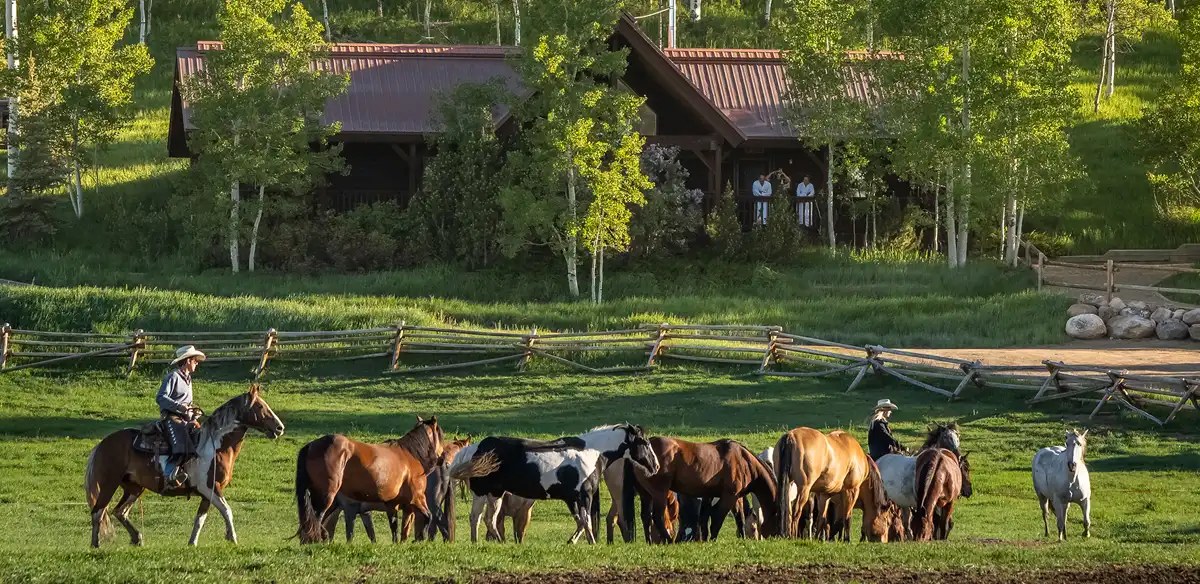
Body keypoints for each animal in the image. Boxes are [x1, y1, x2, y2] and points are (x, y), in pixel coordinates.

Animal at [84, 385, 285, 548]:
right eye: (260, 407)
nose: (279, 428)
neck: (214, 446)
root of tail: (103, 444)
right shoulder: (211, 487)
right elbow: (227, 510)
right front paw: (233, 538)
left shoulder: (207, 493)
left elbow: (200, 519)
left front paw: (192, 542)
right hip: (109, 483)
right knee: (98, 512)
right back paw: (96, 544)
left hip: (134, 487)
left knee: (120, 511)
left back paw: (137, 538)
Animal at [294, 416, 444, 544]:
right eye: (441, 435)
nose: (442, 458)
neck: (410, 456)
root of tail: (311, 446)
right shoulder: (417, 498)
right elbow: (428, 516)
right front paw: (421, 538)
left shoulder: (391, 504)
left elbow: (394, 527)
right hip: (326, 497)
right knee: (317, 518)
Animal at [451, 424, 659, 544]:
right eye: (643, 442)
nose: (655, 466)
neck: (591, 452)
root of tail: (475, 449)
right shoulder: (584, 495)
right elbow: (587, 520)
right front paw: (592, 543)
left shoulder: (572, 498)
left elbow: (580, 521)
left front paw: (572, 541)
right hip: (486, 492)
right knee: (482, 518)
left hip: (491, 493)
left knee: (481, 518)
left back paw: (482, 542)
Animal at [631, 437, 779, 542]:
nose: (779, 536)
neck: (743, 460)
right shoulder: (729, 496)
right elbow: (717, 519)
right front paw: (712, 539)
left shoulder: (725, 496)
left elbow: (734, 518)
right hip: (659, 493)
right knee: (657, 517)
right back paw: (668, 540)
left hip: (646, 494)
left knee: (645, 517)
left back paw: (649, 541)